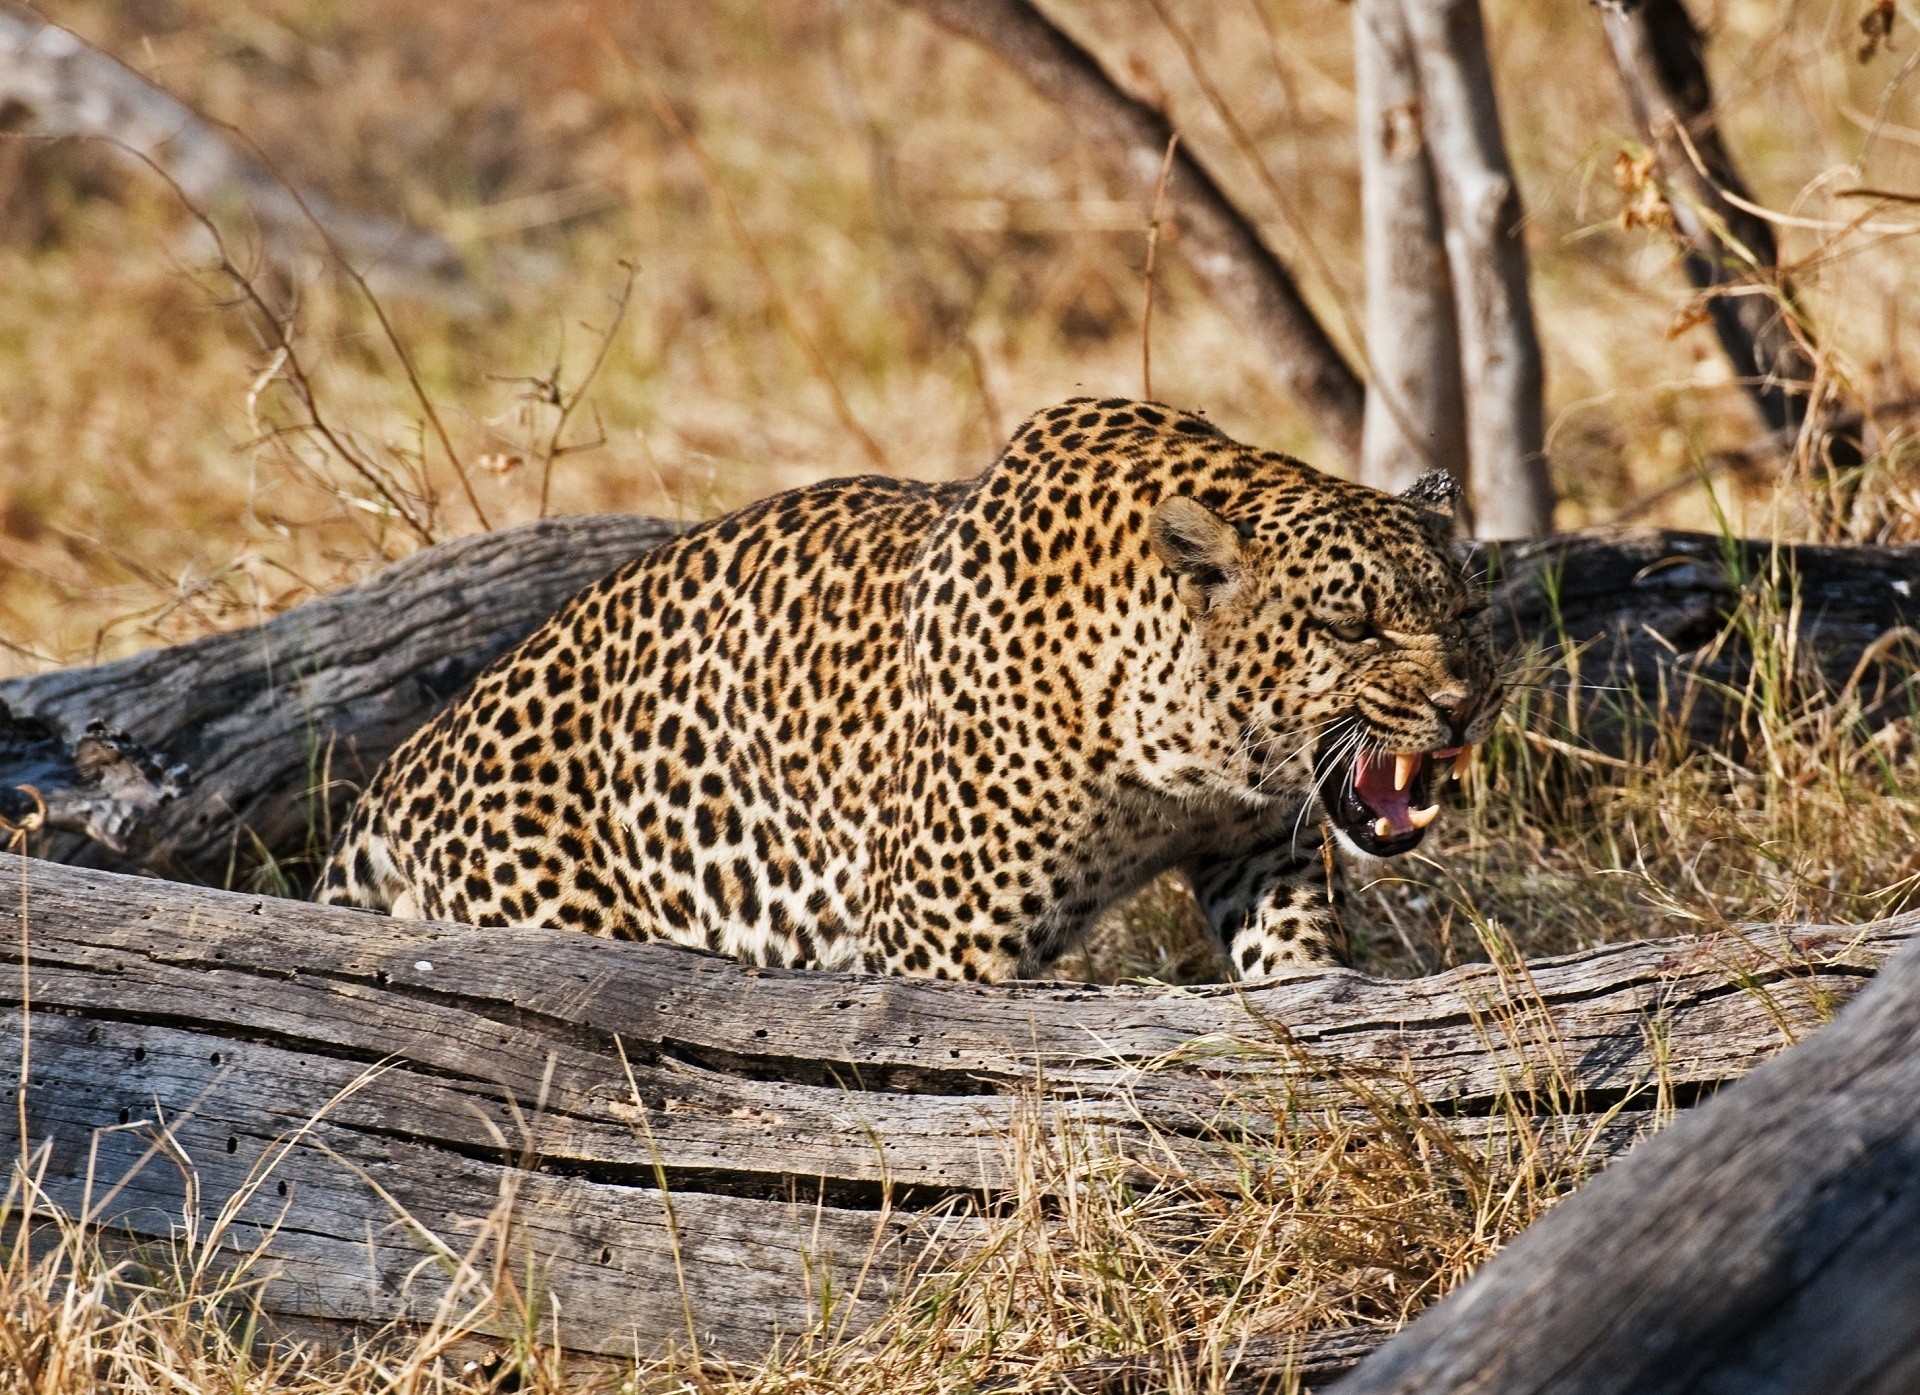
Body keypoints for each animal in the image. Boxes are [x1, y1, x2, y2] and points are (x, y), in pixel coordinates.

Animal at [318, 395, 1512, 982]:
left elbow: (1297, 957)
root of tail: (397, 775)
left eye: (1465, 613)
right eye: (1354, 627)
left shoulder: (1257, 845)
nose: (1461, 706)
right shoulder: (947, 942)